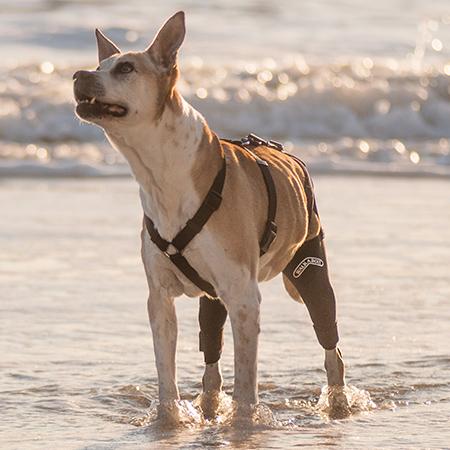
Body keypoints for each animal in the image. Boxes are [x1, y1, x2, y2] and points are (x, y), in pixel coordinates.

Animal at [72, 10, 346, 418]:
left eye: (125, 68)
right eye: (98, 66)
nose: (77, 75)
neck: (162, 172)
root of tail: (289, 156)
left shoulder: (244, 297)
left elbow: (246, 381)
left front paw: (245, 419)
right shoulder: (160, 299)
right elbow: (166, 372)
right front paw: (170, 417)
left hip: (310, 266)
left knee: (330, 344)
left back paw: (338, 401)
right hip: (213, 296)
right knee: (211, 350)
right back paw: (210, 402)